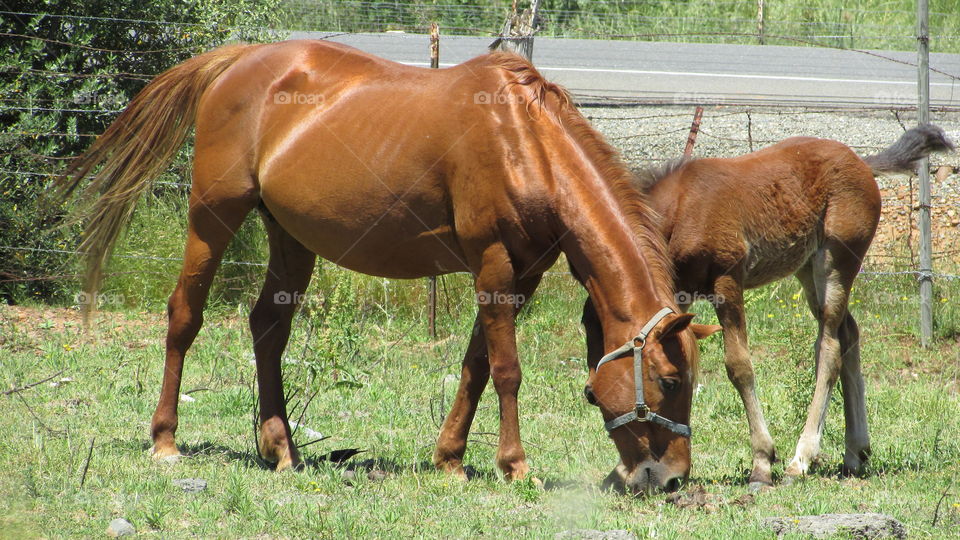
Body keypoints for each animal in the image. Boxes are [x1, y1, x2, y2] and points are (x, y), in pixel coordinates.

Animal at [58, 39, 719, 494]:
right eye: (669, 381)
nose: (671, 478)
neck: (525, 141)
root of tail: (241, 59)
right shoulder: (493, 263)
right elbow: (506, 370)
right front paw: (514, 465)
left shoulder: (521, 273)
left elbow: (476, 365)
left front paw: (450, 458)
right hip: (211, 218)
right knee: (184, 316)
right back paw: (165, 440)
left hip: (291, 238)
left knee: (268, 329)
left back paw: (281, 448)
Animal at [582, 125, 954, 489]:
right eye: (592, 397)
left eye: (668, 384)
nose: (652, 477)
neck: (680, 210)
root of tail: (861, 161)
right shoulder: (679, 292)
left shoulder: (728, 280)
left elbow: (739, 366)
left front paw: (761, 463)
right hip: (807, 268)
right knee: (849, 333)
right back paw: (855, 454)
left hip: (837, 262)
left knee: (830, 348)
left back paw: (801, 460)